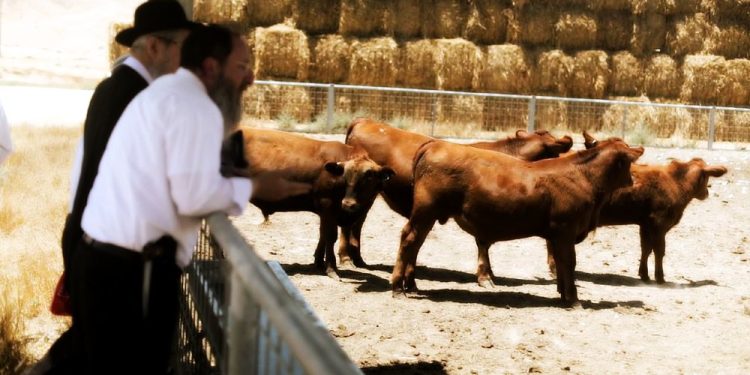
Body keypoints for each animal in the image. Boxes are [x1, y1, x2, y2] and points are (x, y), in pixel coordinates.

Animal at [238, 128, 396, 278]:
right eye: (345, 175)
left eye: (369, 177)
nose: (347, 204)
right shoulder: (328, 206)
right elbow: (330, 237)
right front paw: (331, 269)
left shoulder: (326, 212)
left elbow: (323, 235)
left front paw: (319, 262)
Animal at [340, 117, 576, 268]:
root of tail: (363, 121)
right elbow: (483, 241)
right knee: (351, 222)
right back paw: (346, 258)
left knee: (356, 223)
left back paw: (356, 258)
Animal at [394, 137, 648, 306]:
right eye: (629, 162)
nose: (634, 180)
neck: (582, 177)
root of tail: (435, 144)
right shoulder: (565, 231)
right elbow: (569, 263)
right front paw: (574, 299)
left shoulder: (557, 235)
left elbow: (561, 264)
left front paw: (563, 294)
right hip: (426, 211)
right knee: (409, 240)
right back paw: (397, 286)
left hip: (426, 216)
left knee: (416, 244)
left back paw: (411, 284)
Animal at [548, 131, 728, 284]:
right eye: (706, 176)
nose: (706, 193)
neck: (675, 182)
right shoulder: (658, 224)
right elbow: (659, 250)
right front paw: (660, 278)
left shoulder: (646, 224)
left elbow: (646, 249)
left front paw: (644, 274)